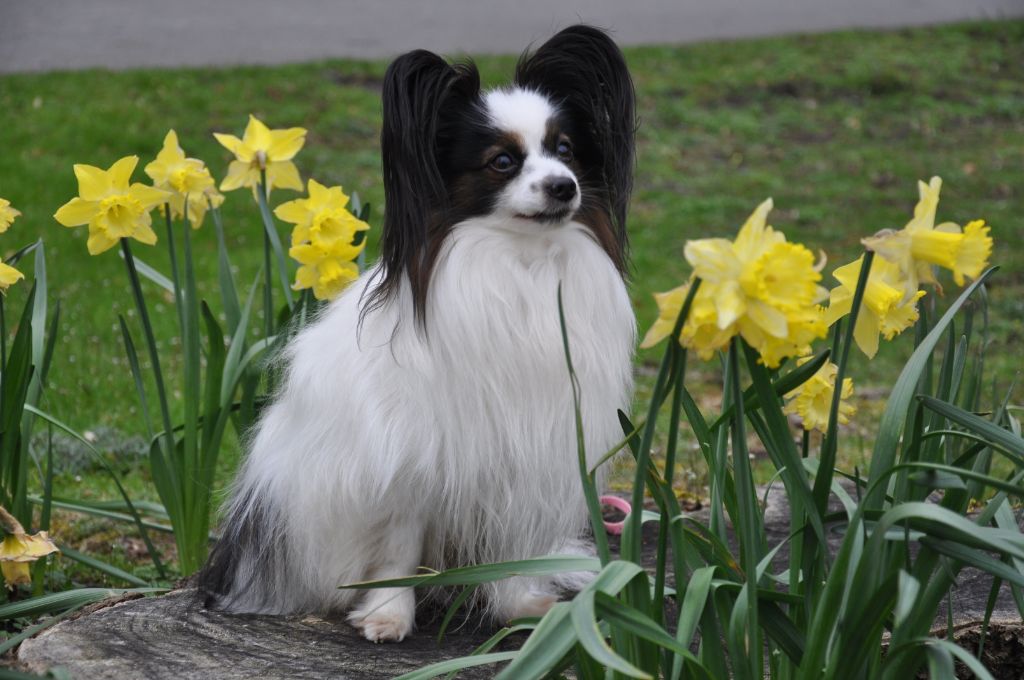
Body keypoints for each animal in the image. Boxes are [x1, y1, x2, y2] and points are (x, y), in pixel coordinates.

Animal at [195, 25, 634, 643]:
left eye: (567, 151)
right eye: (502, 161)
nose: (563, 187)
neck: (518, 264)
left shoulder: (526, 453)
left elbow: (512, 544)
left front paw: (521, 604)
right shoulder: (412, 458)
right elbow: (398, 547)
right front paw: (387, 614)